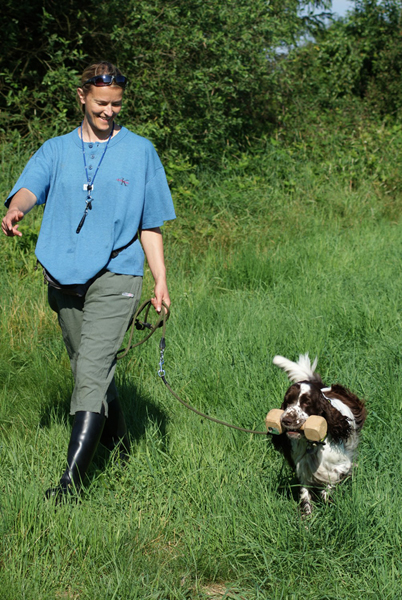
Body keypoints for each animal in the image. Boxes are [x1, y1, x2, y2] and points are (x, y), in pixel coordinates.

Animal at [272, 354, 366, 512]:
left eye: (307, 403)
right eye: (287, 402)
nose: (286, 420)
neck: (313, 445)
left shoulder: (340, 466)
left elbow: (329, 487)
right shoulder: (302, 469)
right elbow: (305, 495)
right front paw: (307, 515)